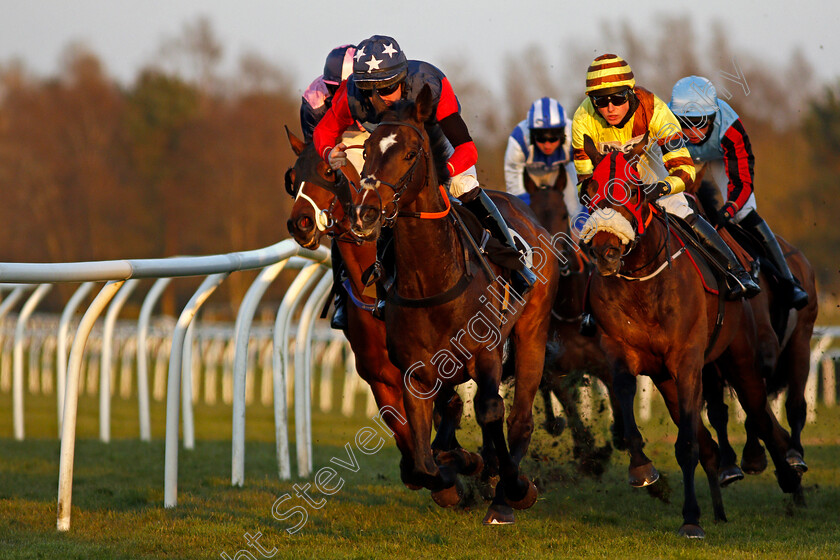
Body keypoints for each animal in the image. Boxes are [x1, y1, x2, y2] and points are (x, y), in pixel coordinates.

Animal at [284, 129, 482, 500]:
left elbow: (448, 411)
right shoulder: (380, 377)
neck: (377, 294)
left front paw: (462, 466)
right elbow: (407, 434)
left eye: (329, 172)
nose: (300, 223)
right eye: (292, 178)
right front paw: (440, 478)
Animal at [348, 84, 556, 524]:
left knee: (518, 418)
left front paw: (513, 486)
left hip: (532, 333)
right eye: (367, 149)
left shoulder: (488, 353)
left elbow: (492, 410)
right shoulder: (415, 373)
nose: (365, 212)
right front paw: (455, 471)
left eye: (411, 152)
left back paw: (505, 488)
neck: (431, 278)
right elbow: (423, 464)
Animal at [580, 132, 804, 540]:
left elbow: (687, 444)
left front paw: (690, 519)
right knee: (711, 442)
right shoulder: (621, 352)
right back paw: (721, 506)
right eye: (589, 191)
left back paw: (788, 475)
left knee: (761, 416)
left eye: (632, 191)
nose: (605, 252)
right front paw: (642, 468)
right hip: (668, 380)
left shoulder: (686, 361)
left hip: (740, 359)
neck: (642, 284)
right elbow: (626, 403)